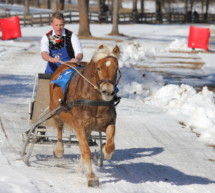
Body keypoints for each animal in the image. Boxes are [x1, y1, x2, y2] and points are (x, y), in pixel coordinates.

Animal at [49, 44, 121, 187]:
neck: (95, 101)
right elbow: (86, 152)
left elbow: (110, 145)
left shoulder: (109, 123)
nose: (108, 91)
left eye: (116, 68)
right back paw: (59, 150)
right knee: (59, 129)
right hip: (55, 111)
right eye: (99, 68)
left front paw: (105, 152)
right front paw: (92, 177)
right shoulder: (80, 126)